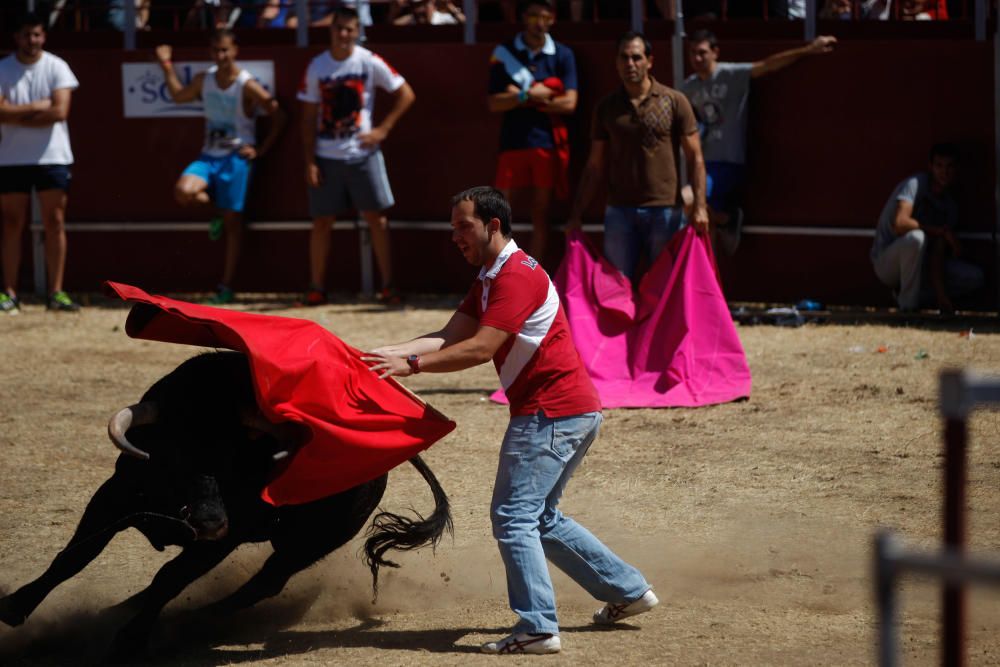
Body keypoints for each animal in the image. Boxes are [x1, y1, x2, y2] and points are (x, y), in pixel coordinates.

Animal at [0, 352, 450, 660]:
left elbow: (168, 578)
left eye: (232, 460)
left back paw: (193, 621)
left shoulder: (223, 539)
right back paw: (121, 610)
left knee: (266, 581)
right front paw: (15, 607)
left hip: (310, 542)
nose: (210, 521)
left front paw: (130, 638)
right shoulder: (113, 497)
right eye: (174, 455)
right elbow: (74, 555)